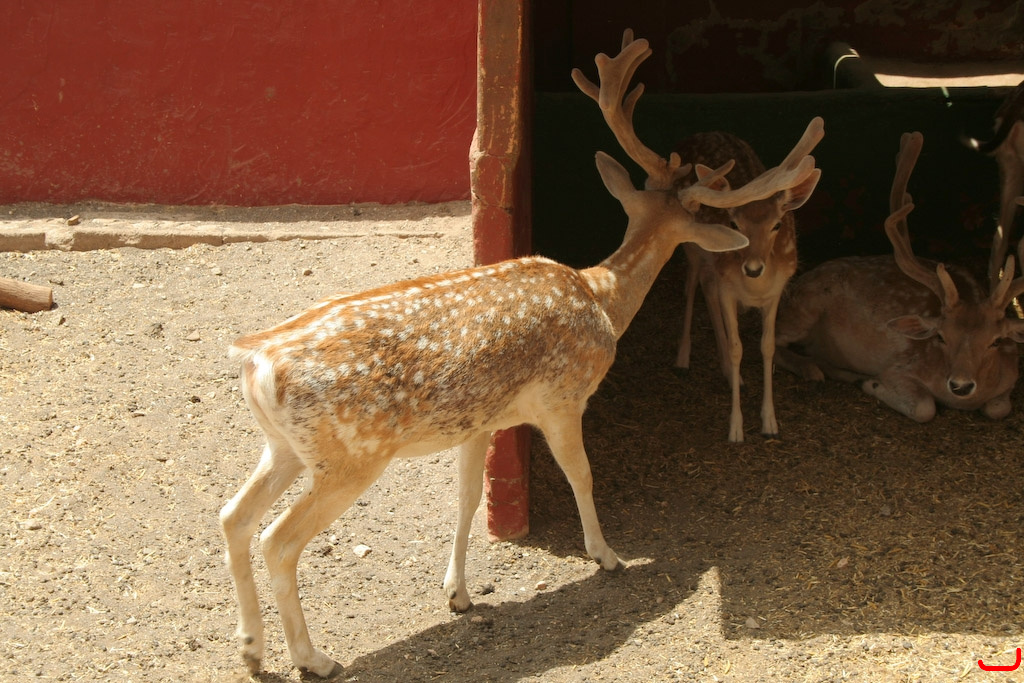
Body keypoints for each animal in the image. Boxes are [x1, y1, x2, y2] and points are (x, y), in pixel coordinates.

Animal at [673, 123, 824, 442]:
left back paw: (731, 375)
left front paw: (770, 423)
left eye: (777, 225)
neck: (755, 289)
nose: (753, 268)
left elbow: (766, 346)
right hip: (691, 244)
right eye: (734, 224)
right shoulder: (728, 287)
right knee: (692, 284)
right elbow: (736, 347)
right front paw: (736, 428)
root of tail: (697, 134)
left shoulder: (776, 291)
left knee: (706, 285)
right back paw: (683, 358)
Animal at [775, 131, 1024, 422]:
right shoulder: (902, 368)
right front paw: (871, 383)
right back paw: (815, 370)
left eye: (995, 341)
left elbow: (998, 408)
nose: (961, 385)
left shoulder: (1010, 379)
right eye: (941, 336)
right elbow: (925, 408)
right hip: (804, 307)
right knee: (772, 342)